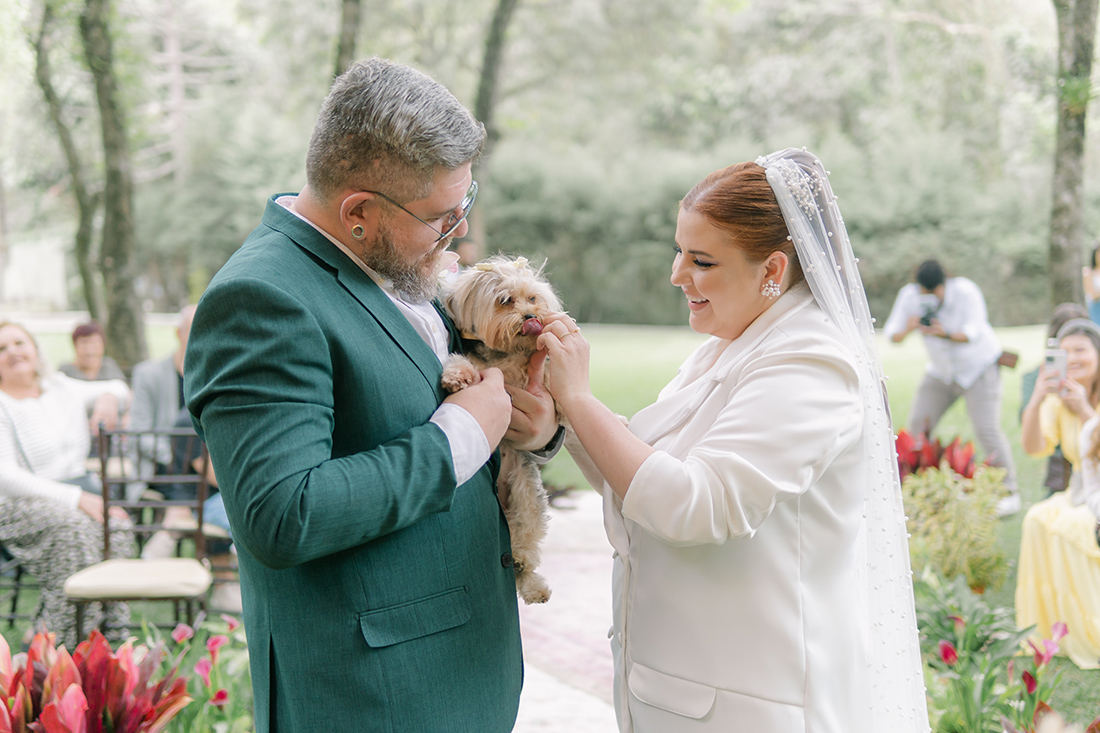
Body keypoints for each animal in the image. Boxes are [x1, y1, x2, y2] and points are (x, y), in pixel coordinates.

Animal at [437, 254, 563, 603]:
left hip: (528, 494)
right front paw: (457, 375)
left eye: (533, 298)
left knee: (527, 540)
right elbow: (466, 362)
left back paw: (530, 575)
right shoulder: (482, 364)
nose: (532, 316)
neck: (508, 354)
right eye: (505, 300)